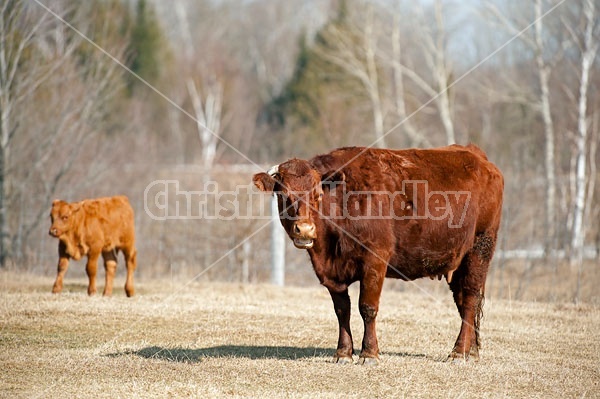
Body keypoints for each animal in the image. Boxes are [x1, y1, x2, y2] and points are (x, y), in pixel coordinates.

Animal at [251, 145, 504, 366]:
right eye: (283, 195)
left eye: (317, 194)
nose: (304, 229)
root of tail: (477, 155)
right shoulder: (332, 274)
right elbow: (342, 310)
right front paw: (343, 353)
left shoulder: (375, 260)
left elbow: (367, 308)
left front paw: (369, 353)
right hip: (458, 261)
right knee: (464, 302)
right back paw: (471, 351)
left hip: (479, 249)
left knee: (470, 300)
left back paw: (458, 353)